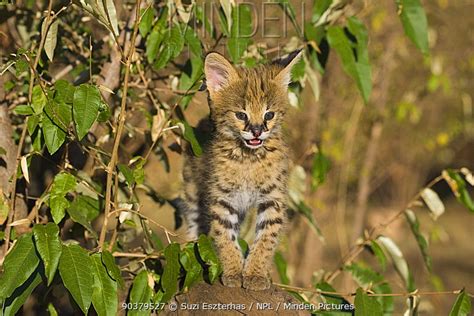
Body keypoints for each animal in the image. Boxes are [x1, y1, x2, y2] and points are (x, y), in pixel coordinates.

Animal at [180, 50, 302, 290]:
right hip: (192, 192)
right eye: (241, 115)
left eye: (269, 115)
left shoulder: (273, 197)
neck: (248, 158)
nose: (256, 131)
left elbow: (267, 237)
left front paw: (255, 273)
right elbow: (223, 235)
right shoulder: (222, 197)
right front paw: (234, 271)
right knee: (194, 225)